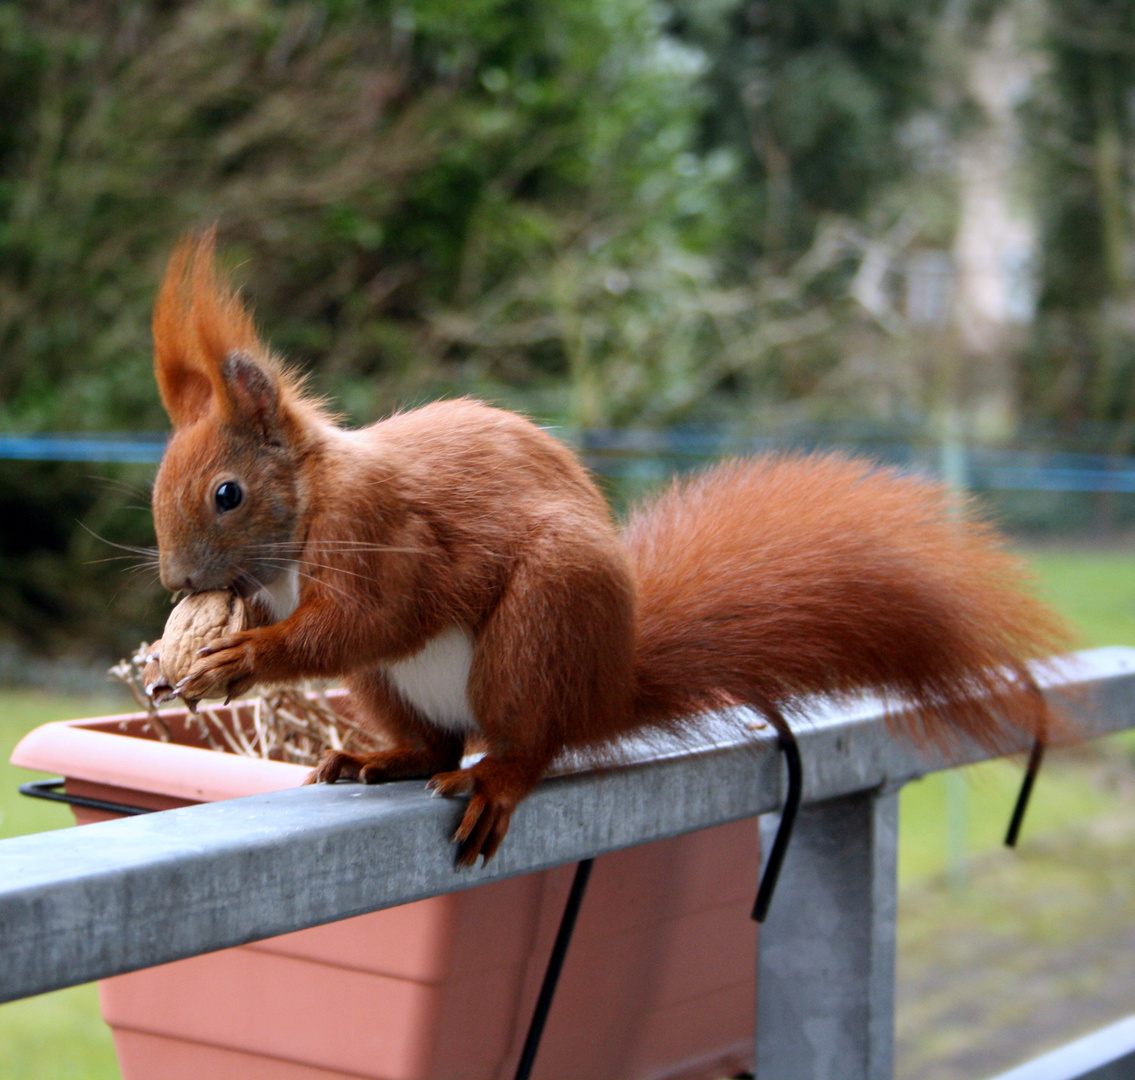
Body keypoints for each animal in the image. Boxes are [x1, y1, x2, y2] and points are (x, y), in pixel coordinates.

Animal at [148, 232, 1071, 866]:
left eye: (227, 494)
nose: (177, 581)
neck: (303, 514)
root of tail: (608, 685)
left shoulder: (381, 532)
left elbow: (370, 617)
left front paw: (241, 658)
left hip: (540, 627)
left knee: (524, 746)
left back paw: (493, 781)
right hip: (397, 686)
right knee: (437, 742)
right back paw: (381, 759)